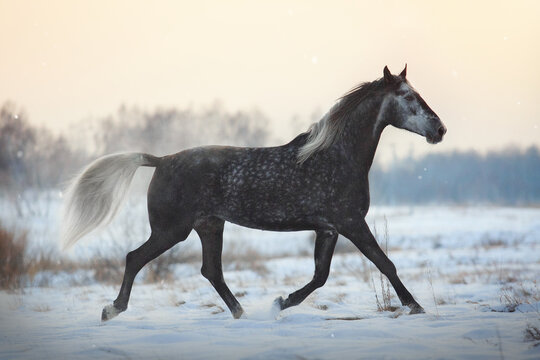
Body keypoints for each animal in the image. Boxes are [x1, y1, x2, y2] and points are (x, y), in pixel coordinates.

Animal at [61, 65, 446, 320]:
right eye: (408, 96)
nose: (440, 129)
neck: (336, 156)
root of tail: (162, 160)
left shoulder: (328, 228)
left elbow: (320, 276)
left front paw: (281, 303)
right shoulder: (351, 223)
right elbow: (385, 263)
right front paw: (416, 306)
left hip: (209, 226)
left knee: (211, 271)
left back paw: (242, 314)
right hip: (172, 230)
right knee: (135, 258)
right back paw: (112, 309)